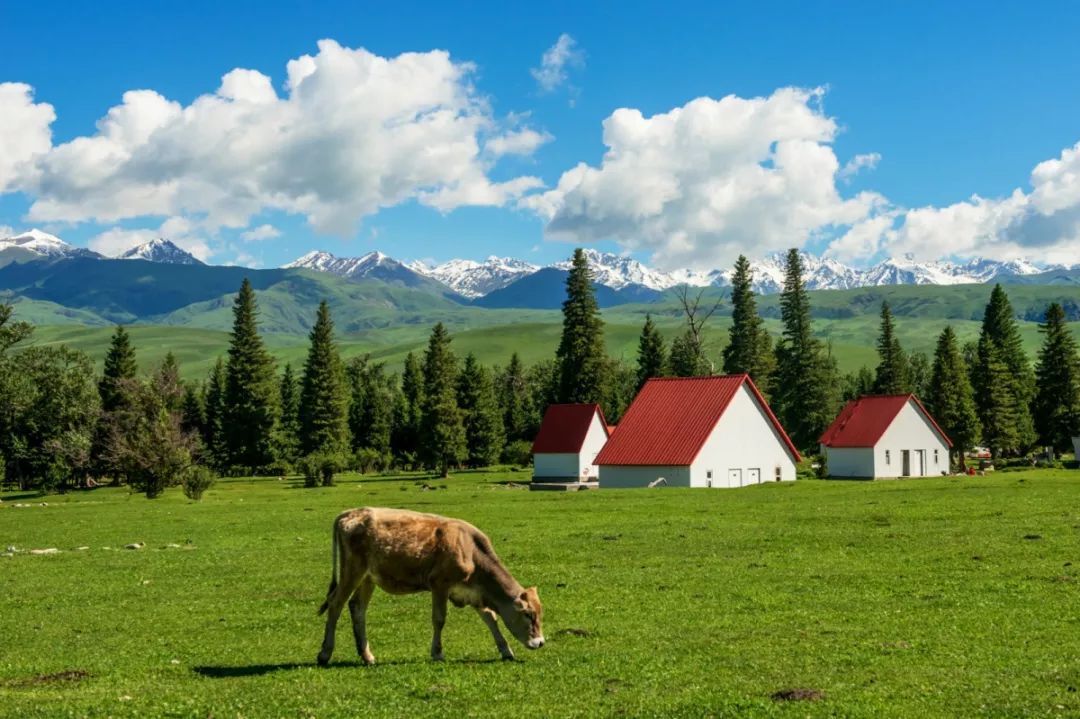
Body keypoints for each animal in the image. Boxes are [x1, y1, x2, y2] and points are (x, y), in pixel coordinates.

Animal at [315, 507, 544, 665]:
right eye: (528, 615)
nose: (540, 642)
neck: (471, 551)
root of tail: (351, 513)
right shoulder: (439, 585)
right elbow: (439, 619)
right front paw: (437, 652)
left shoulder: (473, 592)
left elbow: (490, 618)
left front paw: (505, 650)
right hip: (353, 571)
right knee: (335, 604)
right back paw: (325, 653)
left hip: (368, 578)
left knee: (357, 607)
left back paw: (367, 655)